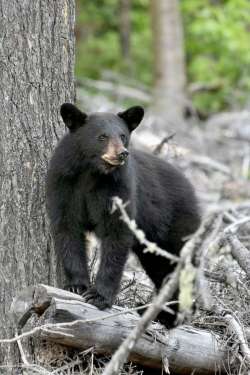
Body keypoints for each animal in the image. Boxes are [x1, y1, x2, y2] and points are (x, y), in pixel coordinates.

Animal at [46, 104, 200, 316]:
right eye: (102, 136)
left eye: (123, 135)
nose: (122, 153)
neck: (91, 173)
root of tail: (190, 186)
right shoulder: (63, 185)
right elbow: (67, 231)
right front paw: (76, 286)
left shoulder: (118, 189)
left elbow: (116, 235)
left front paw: (99, 296)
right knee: (160, 268)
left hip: (177, 224)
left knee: (179, 265)